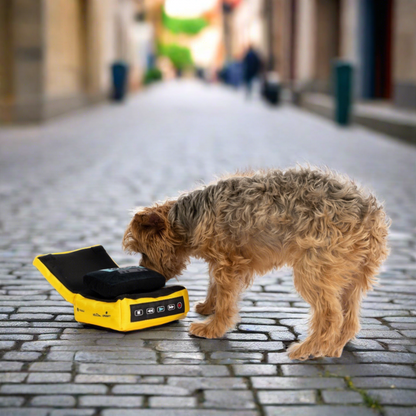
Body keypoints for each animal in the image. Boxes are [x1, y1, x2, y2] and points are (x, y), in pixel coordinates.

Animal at [122, 167, 388, 360]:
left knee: (331, 317)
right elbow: (213, 286)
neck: (190, 217)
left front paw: (213, 328)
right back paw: (334, 347)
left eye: (143, 251)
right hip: (350, 278)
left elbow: (226, 299)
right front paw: (208, 306)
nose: (146, 273)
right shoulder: (221, 262)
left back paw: (308, 349)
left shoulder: (228, 263)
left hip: (313, 272)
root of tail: (370, 213)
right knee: (349, 319)